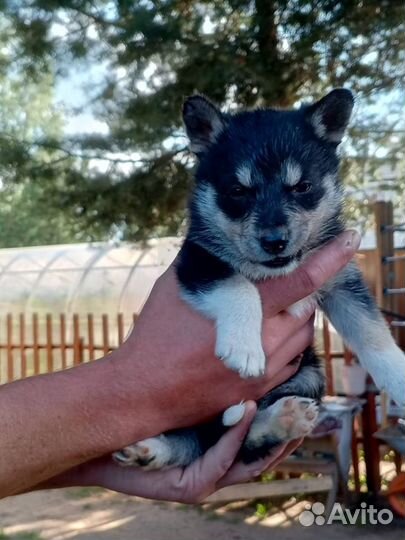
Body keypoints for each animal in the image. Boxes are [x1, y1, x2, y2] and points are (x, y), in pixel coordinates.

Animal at [113, 88, 404, 468]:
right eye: (238, 191)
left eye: (303, 187)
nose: (274, 241)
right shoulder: (198, 263)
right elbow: (238, 286)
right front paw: (244, 346)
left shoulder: (343, 283)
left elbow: (373, 334)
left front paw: (401, 378)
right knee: (217, 440)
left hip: (310, 376)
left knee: (228, 440)